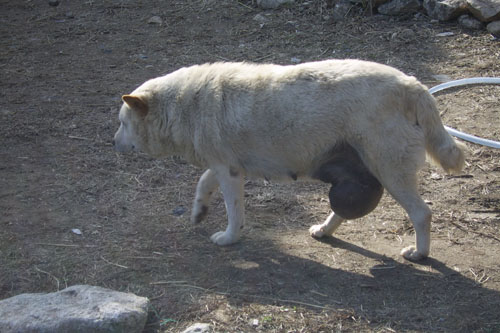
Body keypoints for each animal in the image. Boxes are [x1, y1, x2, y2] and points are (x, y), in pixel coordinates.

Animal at [113, 59, 464, 260]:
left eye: (122, 123)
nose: (113, 143)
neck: (184, 105)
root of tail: (413, 84)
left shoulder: (229, 173)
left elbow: (234, 214)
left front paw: (229, 238)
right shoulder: (227, 168)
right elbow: (203, 183)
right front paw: (199, 211)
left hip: (390, 173)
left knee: (422, 213)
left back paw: (419, 253)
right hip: (359, 174)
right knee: (343, 210)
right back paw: (324, 230)